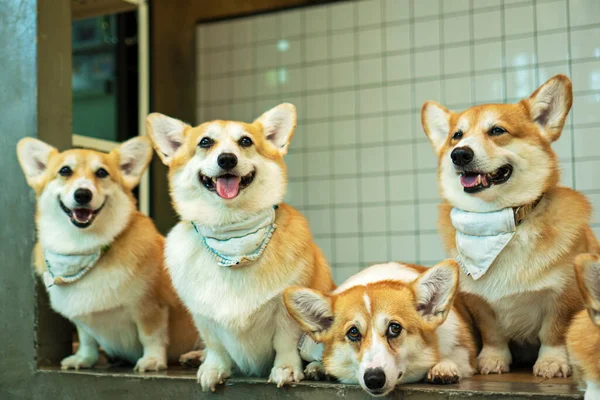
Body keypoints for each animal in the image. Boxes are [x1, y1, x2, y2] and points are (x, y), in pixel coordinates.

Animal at [16, 137, 198, 372]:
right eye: (64, 170)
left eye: (102, 173)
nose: (83, 194)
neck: (82, 247)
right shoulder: (82, 319)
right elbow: (87, 339)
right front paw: (84, 359)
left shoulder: (150, 307)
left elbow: (151, 336)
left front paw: (152, 360)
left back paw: (197, 356)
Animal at [145, 103, 332, 390]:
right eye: (205, 142)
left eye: (245, 141)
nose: (227, 159)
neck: (233, 238)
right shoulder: (204, 317)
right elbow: (216, 346)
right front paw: (213, 368)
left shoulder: (287, 314)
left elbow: (285, 344)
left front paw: (286, 369)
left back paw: (317, 369)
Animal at [284, 260, 476, 396]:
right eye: (353, 332)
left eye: (395, 328)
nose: (374, 379)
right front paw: (320, 367)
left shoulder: (464, 348)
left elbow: (455, 356)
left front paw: (443, 367)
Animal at [420, 75, 596, 378]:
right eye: (456, 135)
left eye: (497, 130)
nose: (459, 154)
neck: (495, 222)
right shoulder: (479, 303)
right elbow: (493, 334)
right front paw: (492, 360)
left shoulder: (565, 295)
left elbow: (555, 332)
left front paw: (552, 362)